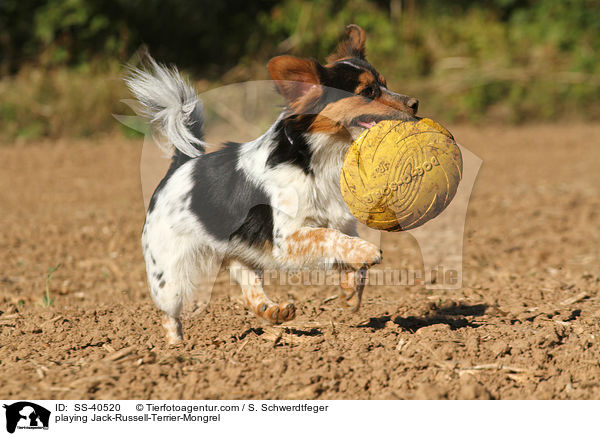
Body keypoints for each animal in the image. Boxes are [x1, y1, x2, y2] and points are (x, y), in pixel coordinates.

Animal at [126, 24, 418, 344]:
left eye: (385, 84)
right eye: (368, 92)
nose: (415, 103)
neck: (321, 159)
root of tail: (180, 165)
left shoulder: (341, 224)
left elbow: (345, 248)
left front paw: (351, 291)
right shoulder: (288, 237)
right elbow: (329, 237)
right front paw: (368, 252)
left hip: (242, 253)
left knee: (248, 287)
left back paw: (272, 310)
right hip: (169, 276)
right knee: (169, 314)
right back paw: (174, 347)